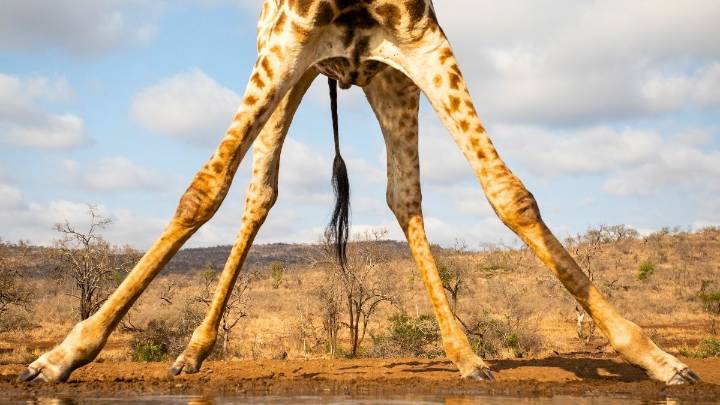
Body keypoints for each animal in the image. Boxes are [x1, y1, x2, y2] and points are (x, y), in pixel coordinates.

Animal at [19, 0, 700, 385]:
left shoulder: (425, 39)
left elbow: (508, 192)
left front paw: (655, 357)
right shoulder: (286, 41)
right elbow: (204, 188)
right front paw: (62, 356)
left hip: (388, 81)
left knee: (405, 196)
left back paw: (464, 354)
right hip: (287, 70)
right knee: (258, 193)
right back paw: (190, 354)